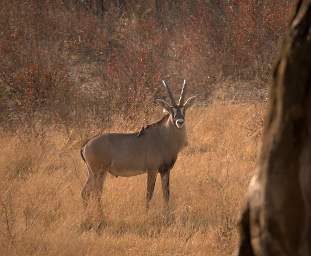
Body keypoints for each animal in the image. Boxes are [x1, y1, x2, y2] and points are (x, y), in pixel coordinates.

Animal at [81, 79, 197, 218]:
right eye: (170, 110)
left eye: (184, 109)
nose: (180, 122)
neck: (163, 136)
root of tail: (86, 145)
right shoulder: (152, 170)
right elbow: (149, 193)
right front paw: (146, 213)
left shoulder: (165, 170)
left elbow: (166, 194)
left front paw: (168, 214)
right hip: (99, 172)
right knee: (96, 193)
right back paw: (101, 216)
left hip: (93, 173)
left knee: (86, 193)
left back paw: (88, 215)